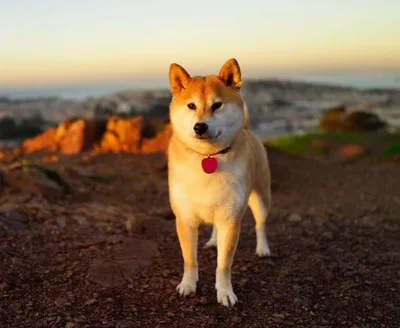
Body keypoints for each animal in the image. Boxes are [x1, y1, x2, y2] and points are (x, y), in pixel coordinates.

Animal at [166, 58, 272, 308]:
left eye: (217, 105)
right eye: (191, 106)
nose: (200, 126)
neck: (208, 157)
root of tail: (248, 130)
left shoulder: (231, 219)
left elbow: (223, 265)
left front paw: (225, 293)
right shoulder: (185, 219)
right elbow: (189, 259)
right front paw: (188, 285)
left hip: (260, 198)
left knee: (260, 224)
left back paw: (263, 248)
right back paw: (214, 241)